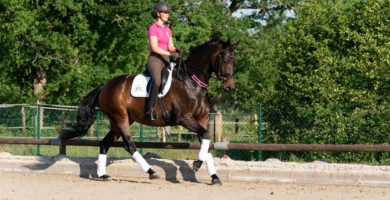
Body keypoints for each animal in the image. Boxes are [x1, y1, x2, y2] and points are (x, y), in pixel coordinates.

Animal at [60, 39, 238, 186]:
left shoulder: (201, 119)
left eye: (234, 60)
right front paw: (196, 164)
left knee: (104, 143)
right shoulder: (184, 118)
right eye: (225, 59)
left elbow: (206, 141)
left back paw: (103, 175)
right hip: (120, 118)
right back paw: (151, 172)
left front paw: (214, 177)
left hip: (119, 121)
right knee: (130, 145)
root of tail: (105, 87)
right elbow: (206, 136)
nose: (230, 86)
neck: (192, 81)